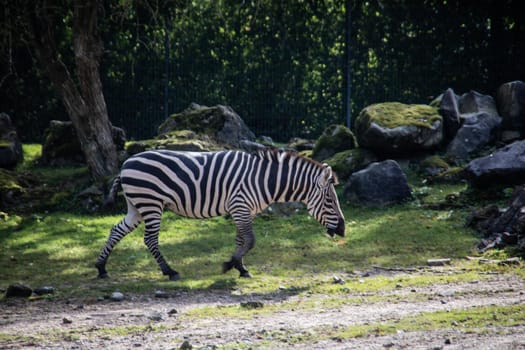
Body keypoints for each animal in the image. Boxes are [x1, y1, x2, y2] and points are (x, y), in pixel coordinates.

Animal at [96, 149, 346, 280]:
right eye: (330, 200)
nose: (343, 230)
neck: (265, 180)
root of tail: (126, 163)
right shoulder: (240, 205)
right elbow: (250, 240)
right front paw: (230, 265)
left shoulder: (243, 210)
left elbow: (241, 240)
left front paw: (241, 268)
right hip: (150, 203)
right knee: (149, 239)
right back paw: (169, 271)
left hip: (136, 206)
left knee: (116, 229)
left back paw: (101, 267)